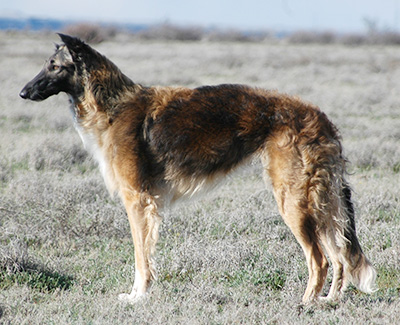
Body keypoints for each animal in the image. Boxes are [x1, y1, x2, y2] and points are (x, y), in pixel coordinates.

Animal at [19, 34, 376, 302]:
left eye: (54, 66)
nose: (23, 92)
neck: (113, 105)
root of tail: (321, 118)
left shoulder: (138, 200)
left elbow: (140, 258)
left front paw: (138, 297)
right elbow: (143, 256)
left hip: (293, 201)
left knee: (320, 259)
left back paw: (305, 304)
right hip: (320, 202)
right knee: (339, 257)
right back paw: (329, 301)